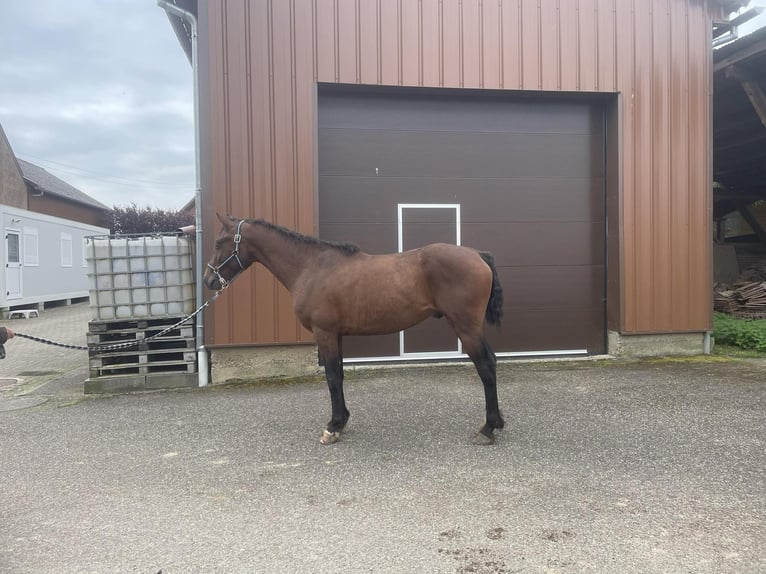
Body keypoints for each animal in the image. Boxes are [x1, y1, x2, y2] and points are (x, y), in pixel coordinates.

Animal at [202, 215, 510, 446]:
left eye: (219, 242)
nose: (208, 280)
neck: (311, 267)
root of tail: (477, 255)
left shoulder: (324, 333)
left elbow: (331, 378)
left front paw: (333, 427)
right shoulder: (335, 335)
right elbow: (338, 375)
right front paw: (342, 421)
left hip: (465, 326)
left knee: (485, 366)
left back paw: (488, 429)